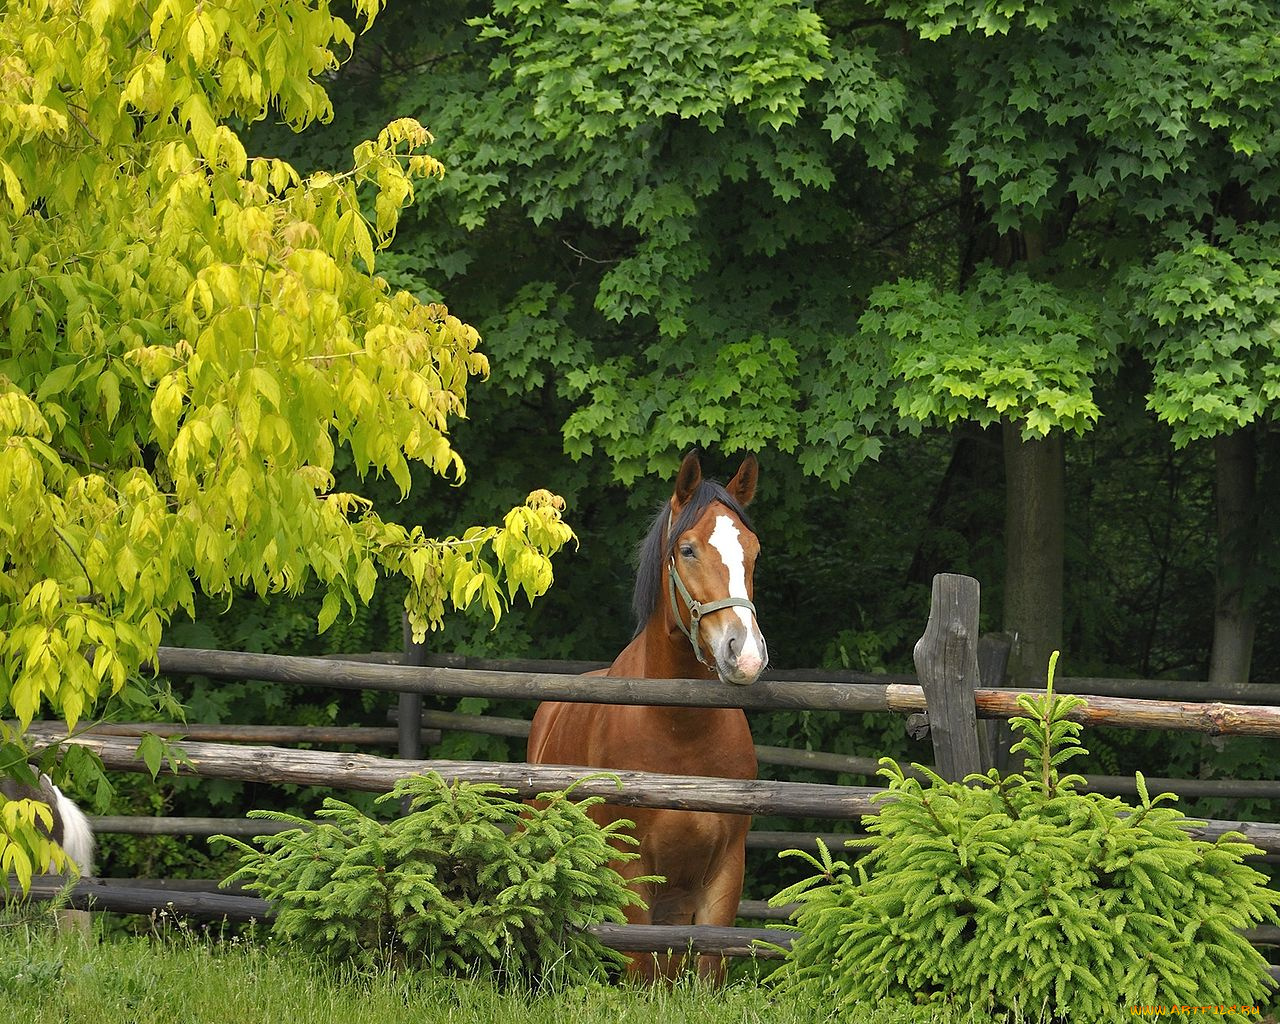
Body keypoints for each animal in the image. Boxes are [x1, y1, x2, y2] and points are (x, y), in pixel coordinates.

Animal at [524, 453, 762, 977]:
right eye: (688, 550)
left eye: (753, 552)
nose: (746, 654)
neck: (679, 730)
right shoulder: (630, 870)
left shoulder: (724, 875)